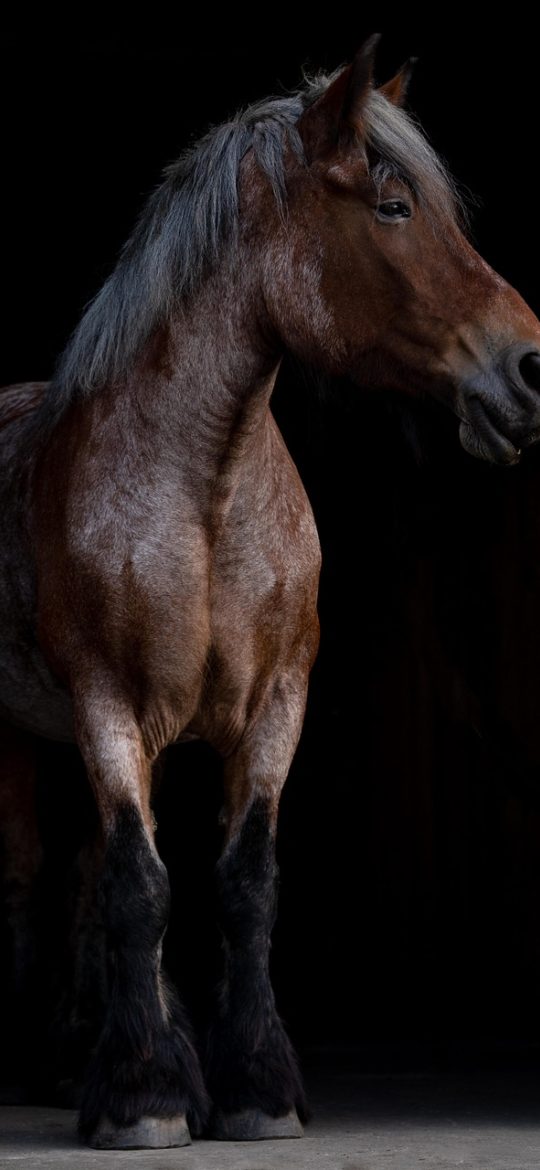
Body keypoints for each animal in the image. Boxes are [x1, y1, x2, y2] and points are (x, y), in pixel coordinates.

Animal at [2, 37, 540, 1149]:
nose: (528, 369)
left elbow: (240, 887)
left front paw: (250, 1088)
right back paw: (62, 1063)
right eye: (393, 206)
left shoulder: (274, 707)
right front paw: (146, 1097)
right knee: (40, 878)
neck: (204, 492)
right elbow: (141, 887)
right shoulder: (108, 708)